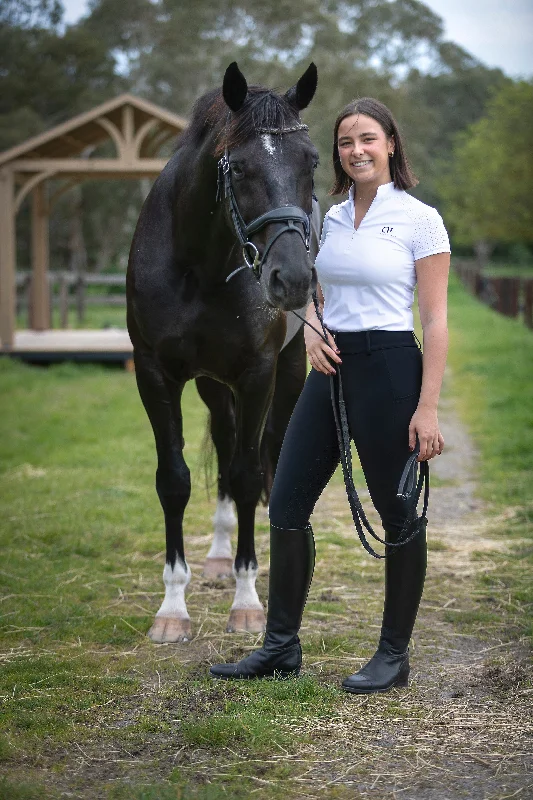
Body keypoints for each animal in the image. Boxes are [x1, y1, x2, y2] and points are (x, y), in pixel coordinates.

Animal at [128, 62, 320, 644]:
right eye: (236, 167)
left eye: (312, 161)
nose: (292, 279)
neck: (200, 265)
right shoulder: (155, 373)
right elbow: (175, 480)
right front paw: (173, 608)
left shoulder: (258, 373)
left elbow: (247, 477)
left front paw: (248, 601)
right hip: (213, 385)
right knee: (226, 437)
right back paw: (216, 554)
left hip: (289, 372)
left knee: (269, 454)